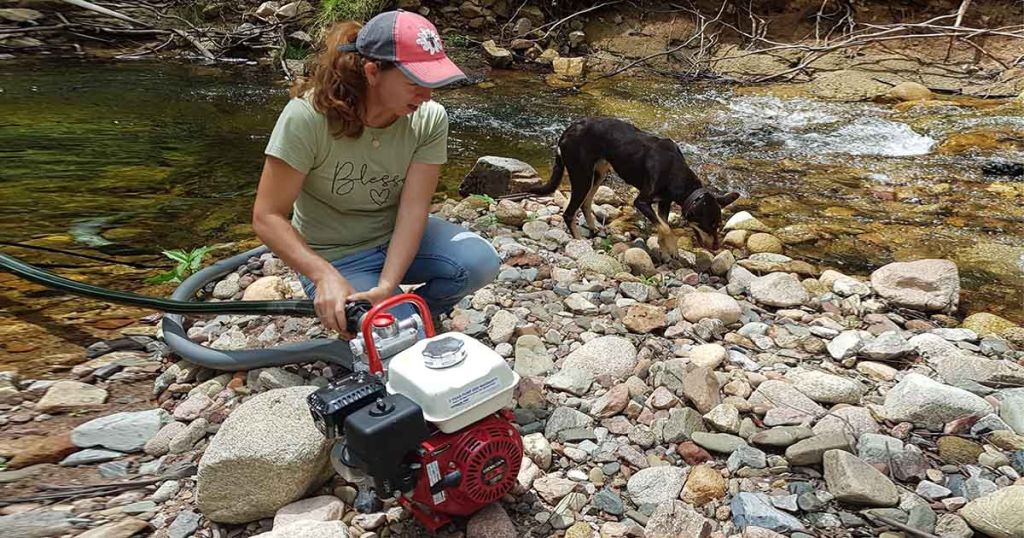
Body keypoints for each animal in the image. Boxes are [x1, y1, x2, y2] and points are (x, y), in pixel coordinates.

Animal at [528, 116, 737, 255]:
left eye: (718, 225)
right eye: (708, 225)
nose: (716, 247)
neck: (673, 170)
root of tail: (568, 130)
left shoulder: (664, 202)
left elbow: (662, 224)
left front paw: (666, 250)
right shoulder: (641, 201)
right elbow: (666, 228)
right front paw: (671, 248)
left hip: (599, 174)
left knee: (586, 203)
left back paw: (594, 229)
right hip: (582, 175)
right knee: (569, 212)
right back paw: (580, 244)